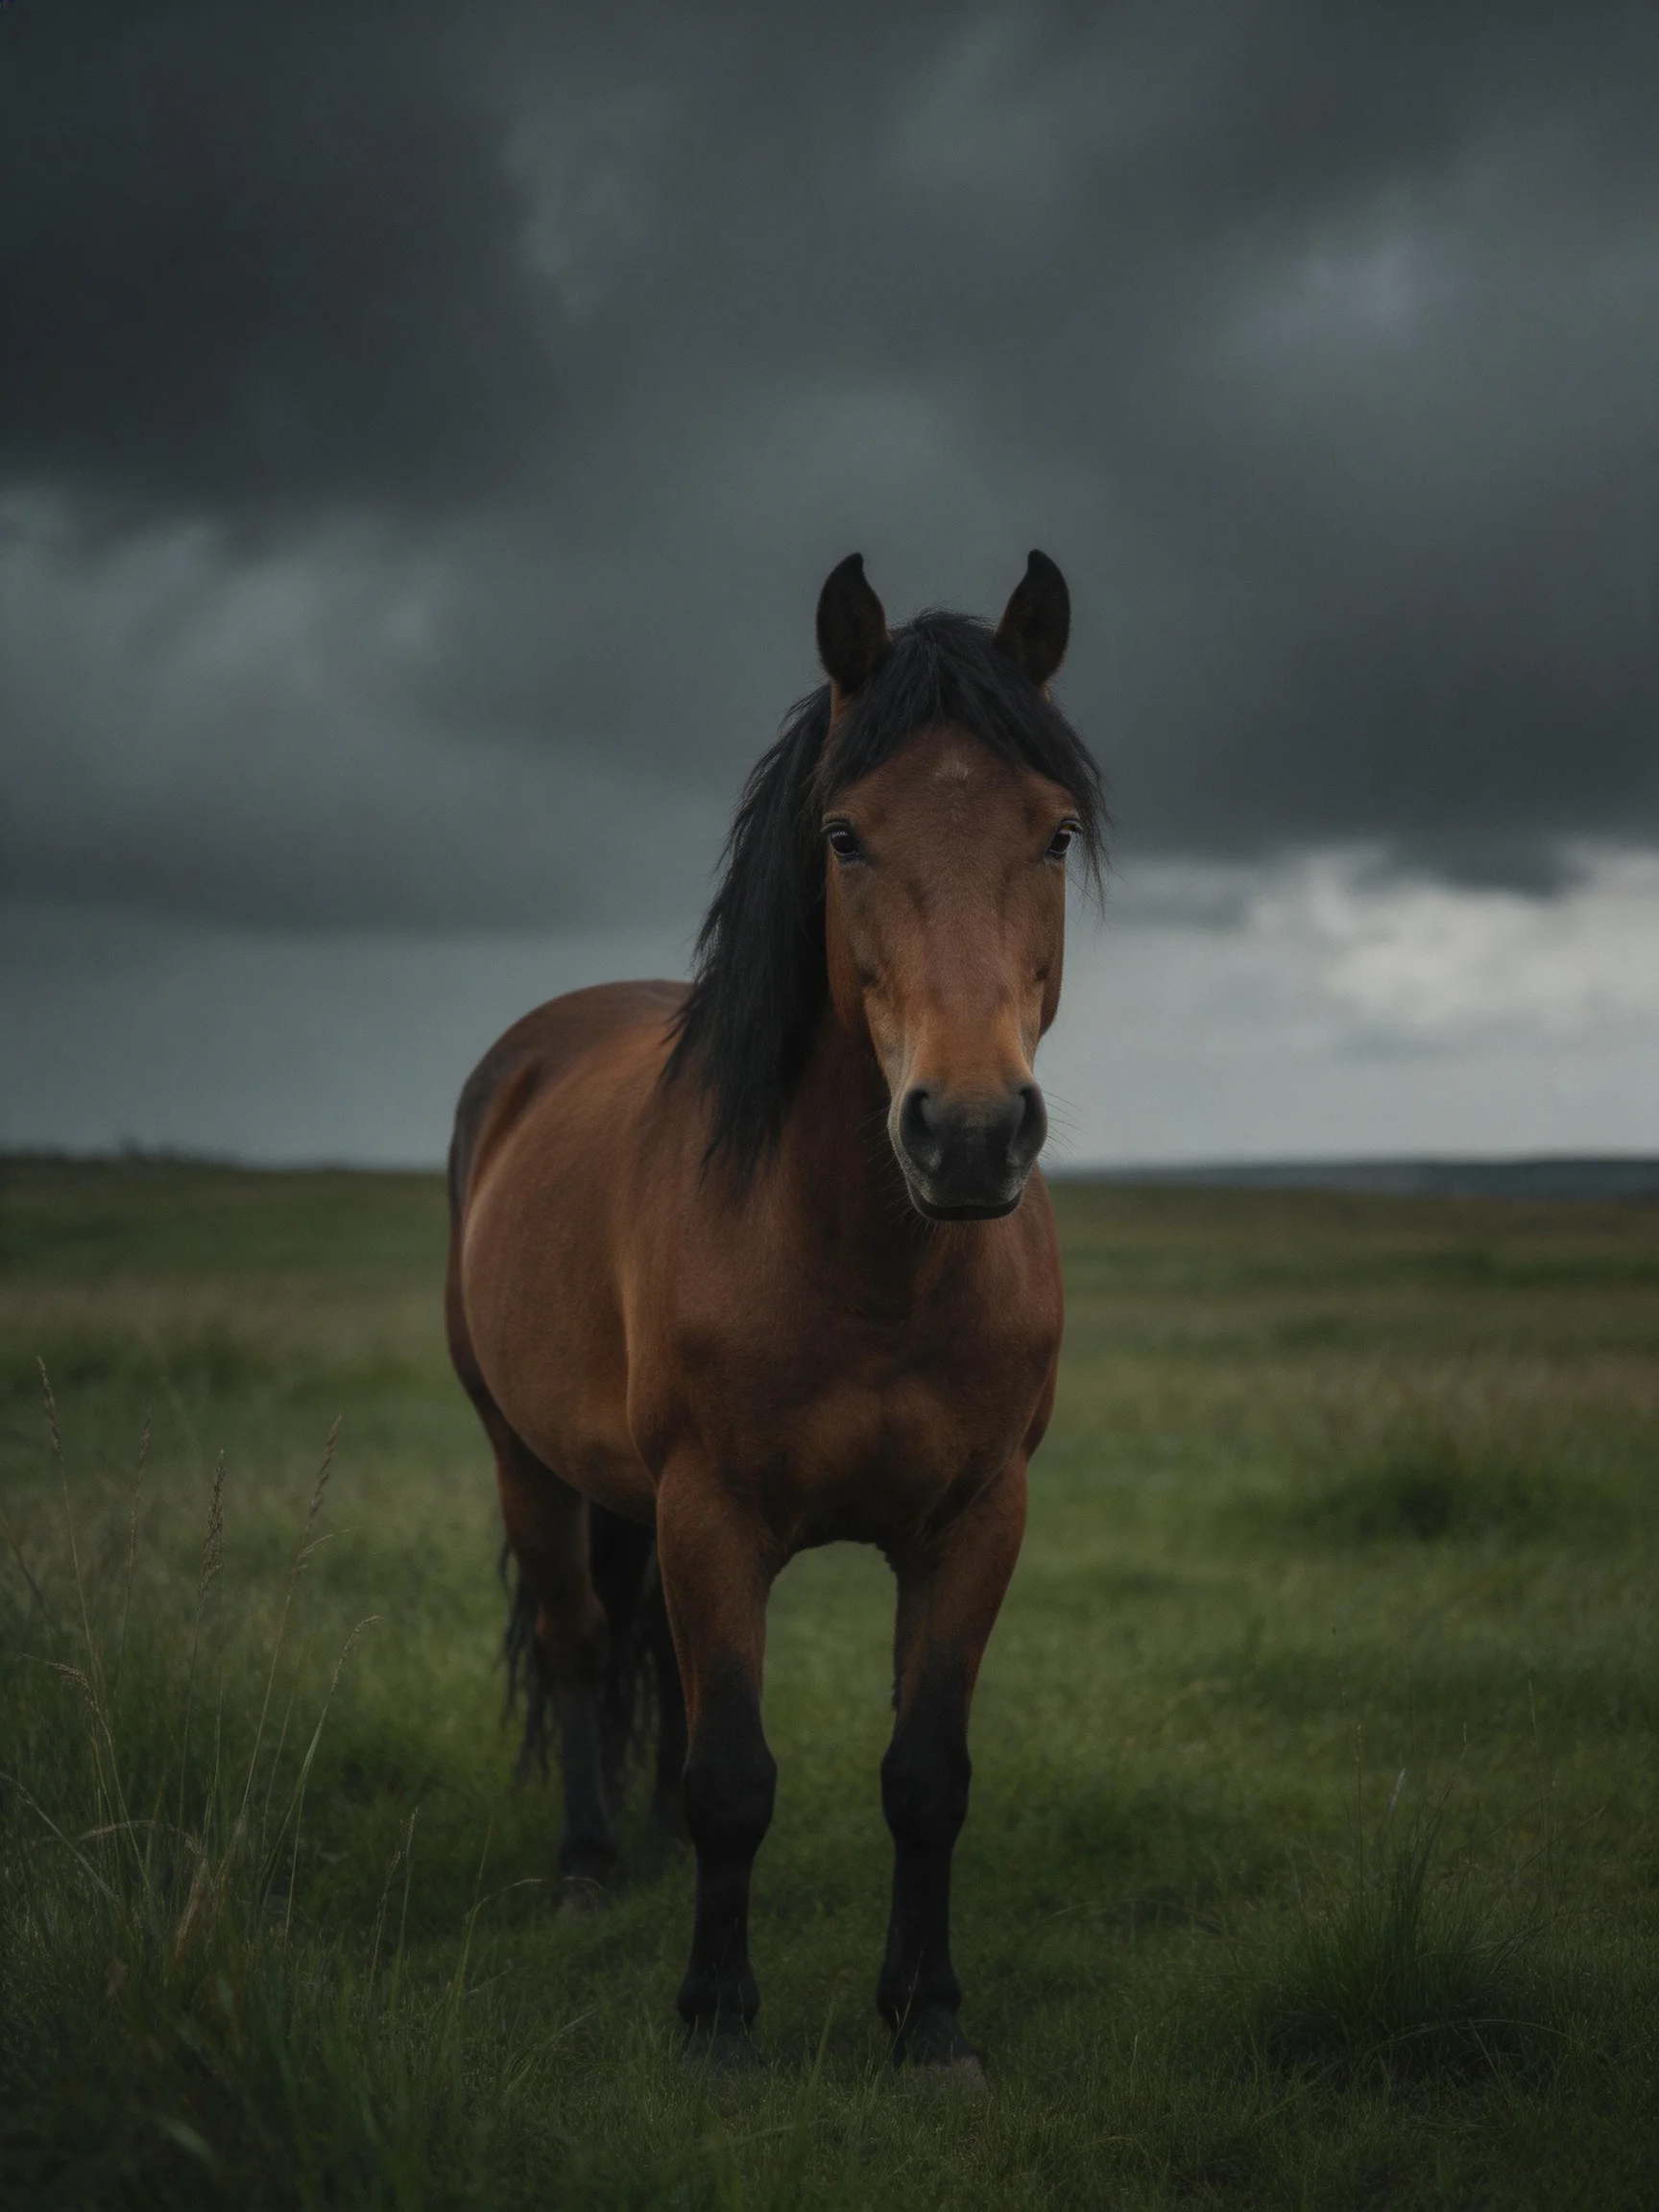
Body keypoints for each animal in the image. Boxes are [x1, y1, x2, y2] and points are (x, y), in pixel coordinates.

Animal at [445, 550, 1105, 2080]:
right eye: (846, 836)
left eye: (1053, 835)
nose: (967, 1136)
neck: (871, 1270)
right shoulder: (714, 1513)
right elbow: (737, 1774)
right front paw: (716, 2025)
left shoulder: (978, 1518)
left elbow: (925, 1776)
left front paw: (929, 2021)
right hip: (527, 1462)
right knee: (580, 1645)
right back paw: (588, 1869)